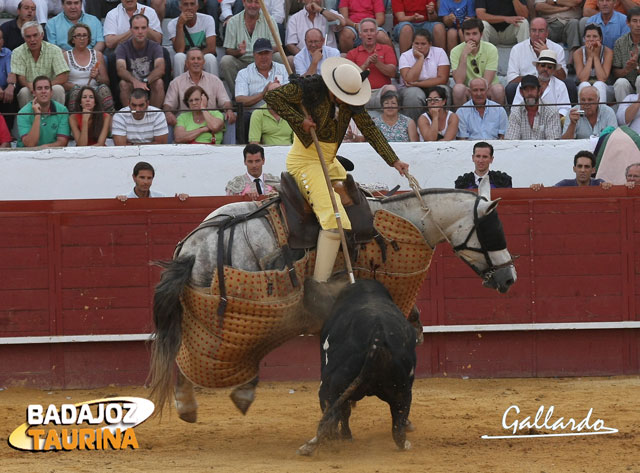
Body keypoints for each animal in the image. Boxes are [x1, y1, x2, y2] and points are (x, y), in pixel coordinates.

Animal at [149, 178, 516, 420]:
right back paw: (212, 399)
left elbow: (413, 319)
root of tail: (193, 246)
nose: (509, 278)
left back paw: (195, 403)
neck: (408, 220)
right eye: (493, 232)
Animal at [300, 278, 420, 456]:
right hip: (403, 390)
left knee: (333, 415)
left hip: (331, 386)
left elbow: (344, 412)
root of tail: (378, 336)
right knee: (398, 426)